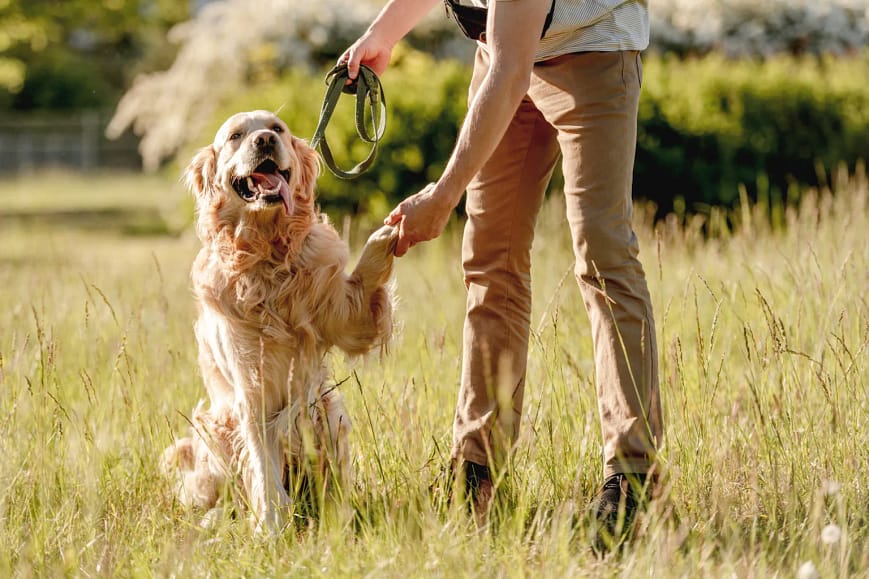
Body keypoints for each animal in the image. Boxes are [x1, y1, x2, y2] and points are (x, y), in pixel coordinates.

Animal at [159, 111, 396, 532]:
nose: (265, 141)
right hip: (213, 428)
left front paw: (389, 232)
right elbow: (261, 466)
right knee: (218, 493)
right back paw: (216, 518)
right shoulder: (252, 387)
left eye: (277, 128)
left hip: (328, 409)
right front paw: (271, 525)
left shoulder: (344, 316)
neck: (268, 255)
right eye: (236, 136)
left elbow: (361, 286)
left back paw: (340, 515)